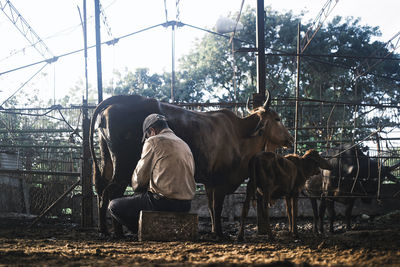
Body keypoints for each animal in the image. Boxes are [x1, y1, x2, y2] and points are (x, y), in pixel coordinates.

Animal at [89, 93, 292, 239]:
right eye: (277, 119)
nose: (290, 138)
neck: (240, 134)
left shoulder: (210, 183)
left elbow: (211, 207)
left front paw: (213, 231)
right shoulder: (220, 181)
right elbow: (217, 207)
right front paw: (219, 233)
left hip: (108, 162)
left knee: (101, 190)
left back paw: (103, 230)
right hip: (123, 167)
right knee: (111, 193)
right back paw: (115, 232)